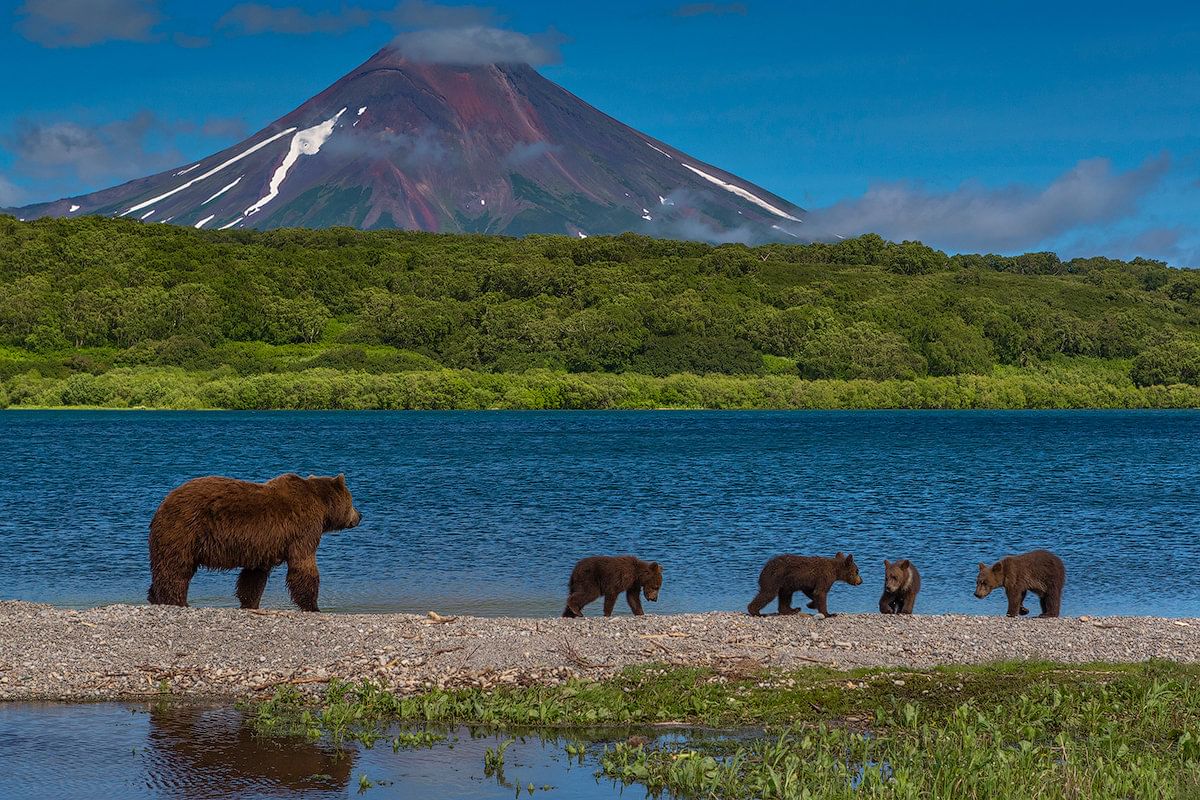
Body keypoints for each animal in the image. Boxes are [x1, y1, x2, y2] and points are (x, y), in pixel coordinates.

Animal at [147, 470, 360, 614]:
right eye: (352, 501)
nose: (360, 516)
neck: (323, 507)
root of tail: (163, 503)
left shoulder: (262, 546)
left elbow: (253, 577)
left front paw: (250, 603)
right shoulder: (303, 530)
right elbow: (303, 566)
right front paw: (313, 606)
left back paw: (154, 597)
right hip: (184, 530)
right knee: (176, 569)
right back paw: (177, 601)